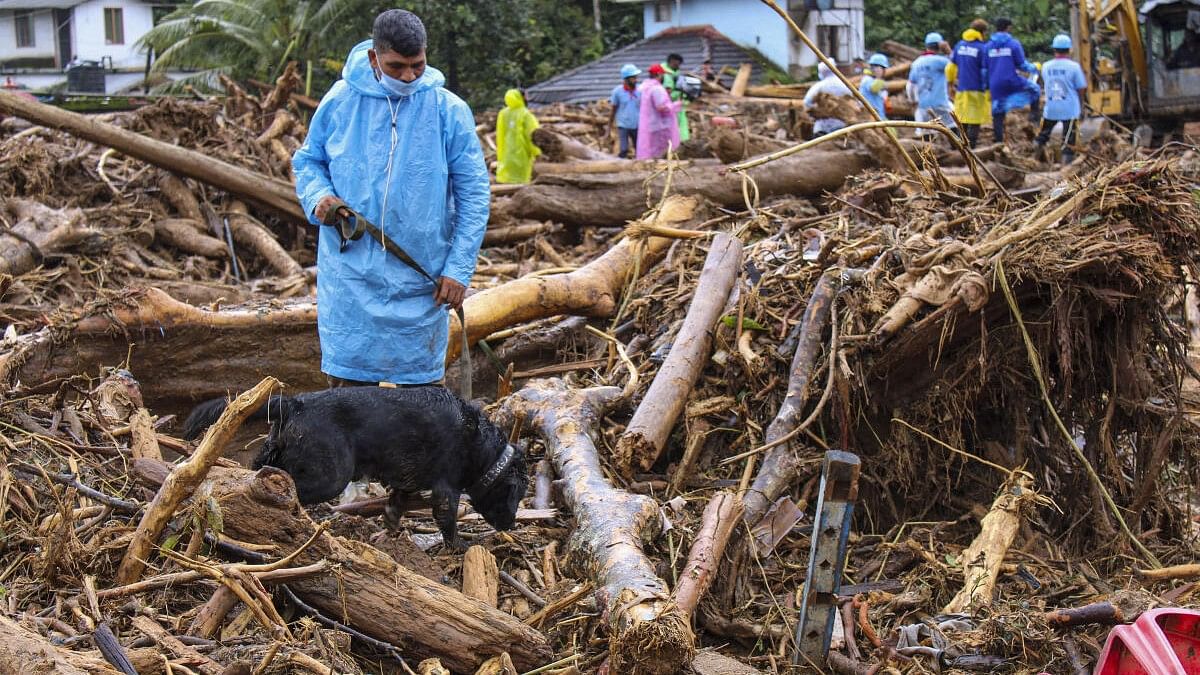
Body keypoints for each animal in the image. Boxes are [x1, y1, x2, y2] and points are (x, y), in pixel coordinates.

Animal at [182, 384, 525, 547]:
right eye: (516, 495)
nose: (511, 524)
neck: (480, 446)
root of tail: (295, 403)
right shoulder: (446, 489)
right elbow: (448, 522)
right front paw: (460, 548)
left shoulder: (406, 482)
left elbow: (394, 507)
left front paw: (390, 534)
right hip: (331, 475)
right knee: (289, 487)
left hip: (276, 450)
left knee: (259, 469)